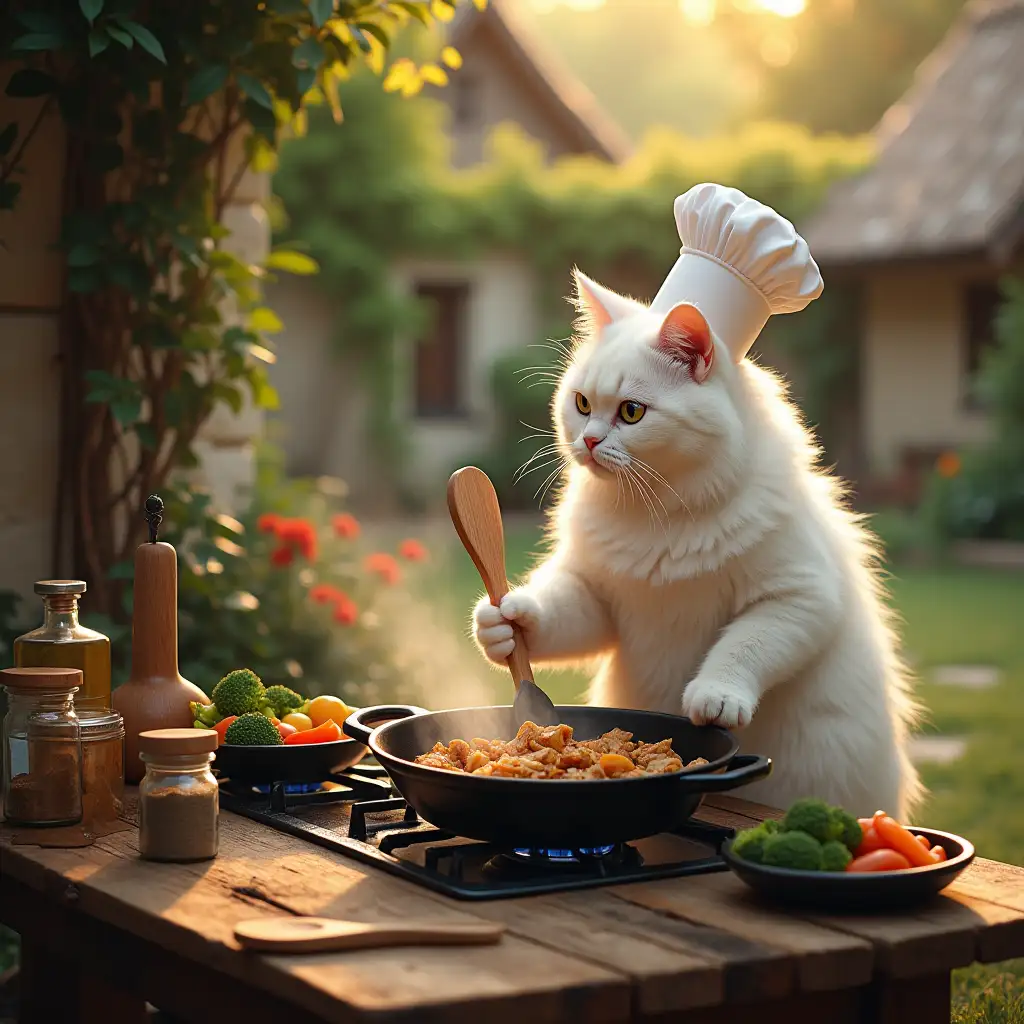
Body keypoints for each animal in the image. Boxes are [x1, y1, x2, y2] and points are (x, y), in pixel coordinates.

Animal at [475, 268, 925, 819]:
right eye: (581, 404)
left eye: (631, 412)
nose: (589, 442)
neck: (659, 510)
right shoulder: (598, 594)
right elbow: (551, 612)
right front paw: (502, 623)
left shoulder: (797, 597)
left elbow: (742, 648)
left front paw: (715, 698)